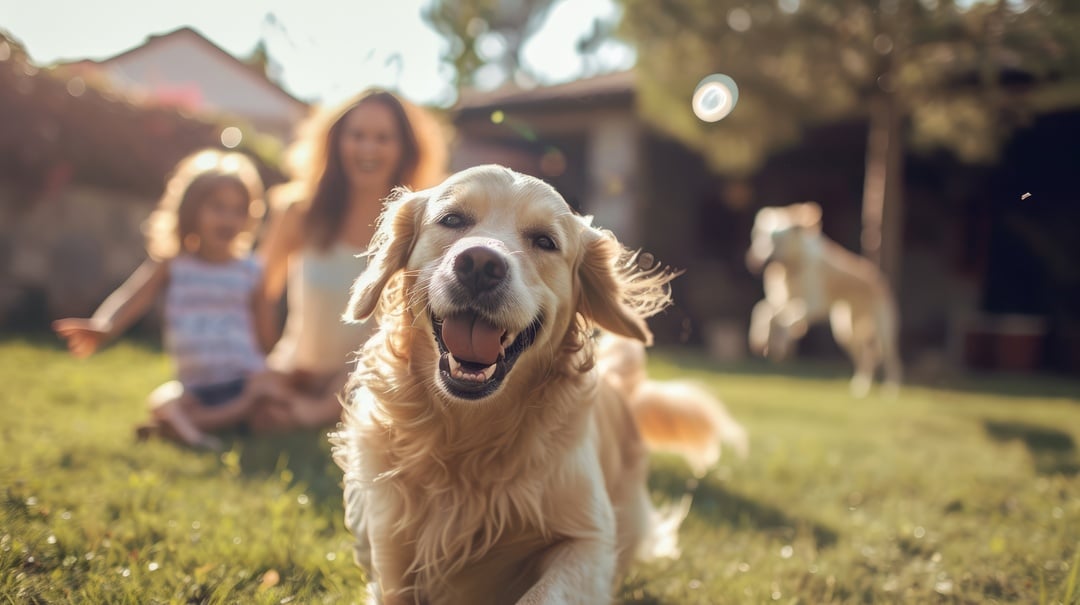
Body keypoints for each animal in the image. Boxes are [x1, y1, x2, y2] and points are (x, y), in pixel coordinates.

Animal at [336, 165, 743, 605]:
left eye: (545, 241)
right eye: (453, 220)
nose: (480, 264)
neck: (467, 441)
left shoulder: (589, 539)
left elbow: (543, 594)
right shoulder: (392, 550)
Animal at [743, 200, 902, 397]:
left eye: (776, 240)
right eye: (759, 236)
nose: (754, 260)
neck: (791, 267)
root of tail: (878, 280)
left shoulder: (813, 305)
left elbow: (783, 319)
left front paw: (782, 344)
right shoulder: (781, 300)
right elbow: (763, 311)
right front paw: (761, 340)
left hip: (883, 332)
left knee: (891, 359)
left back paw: (891, 389)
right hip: (846, 331)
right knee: (867, 357)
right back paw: (861, 386)